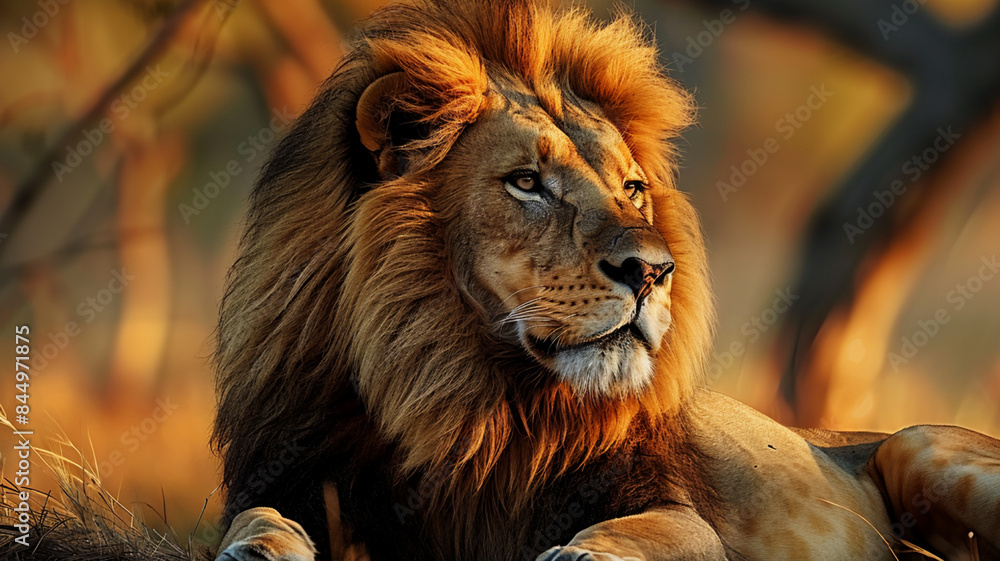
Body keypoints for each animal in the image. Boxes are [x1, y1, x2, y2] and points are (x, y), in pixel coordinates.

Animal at [211, 0, 1000, 559]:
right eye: (527, 182)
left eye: (632, 188)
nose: (652, 271)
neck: (473, 401)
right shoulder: (298, 474)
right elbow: (258, 514)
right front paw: (260, 547)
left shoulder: (667, 505)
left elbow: (658, 533)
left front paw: (583, 554)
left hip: (920, 445)